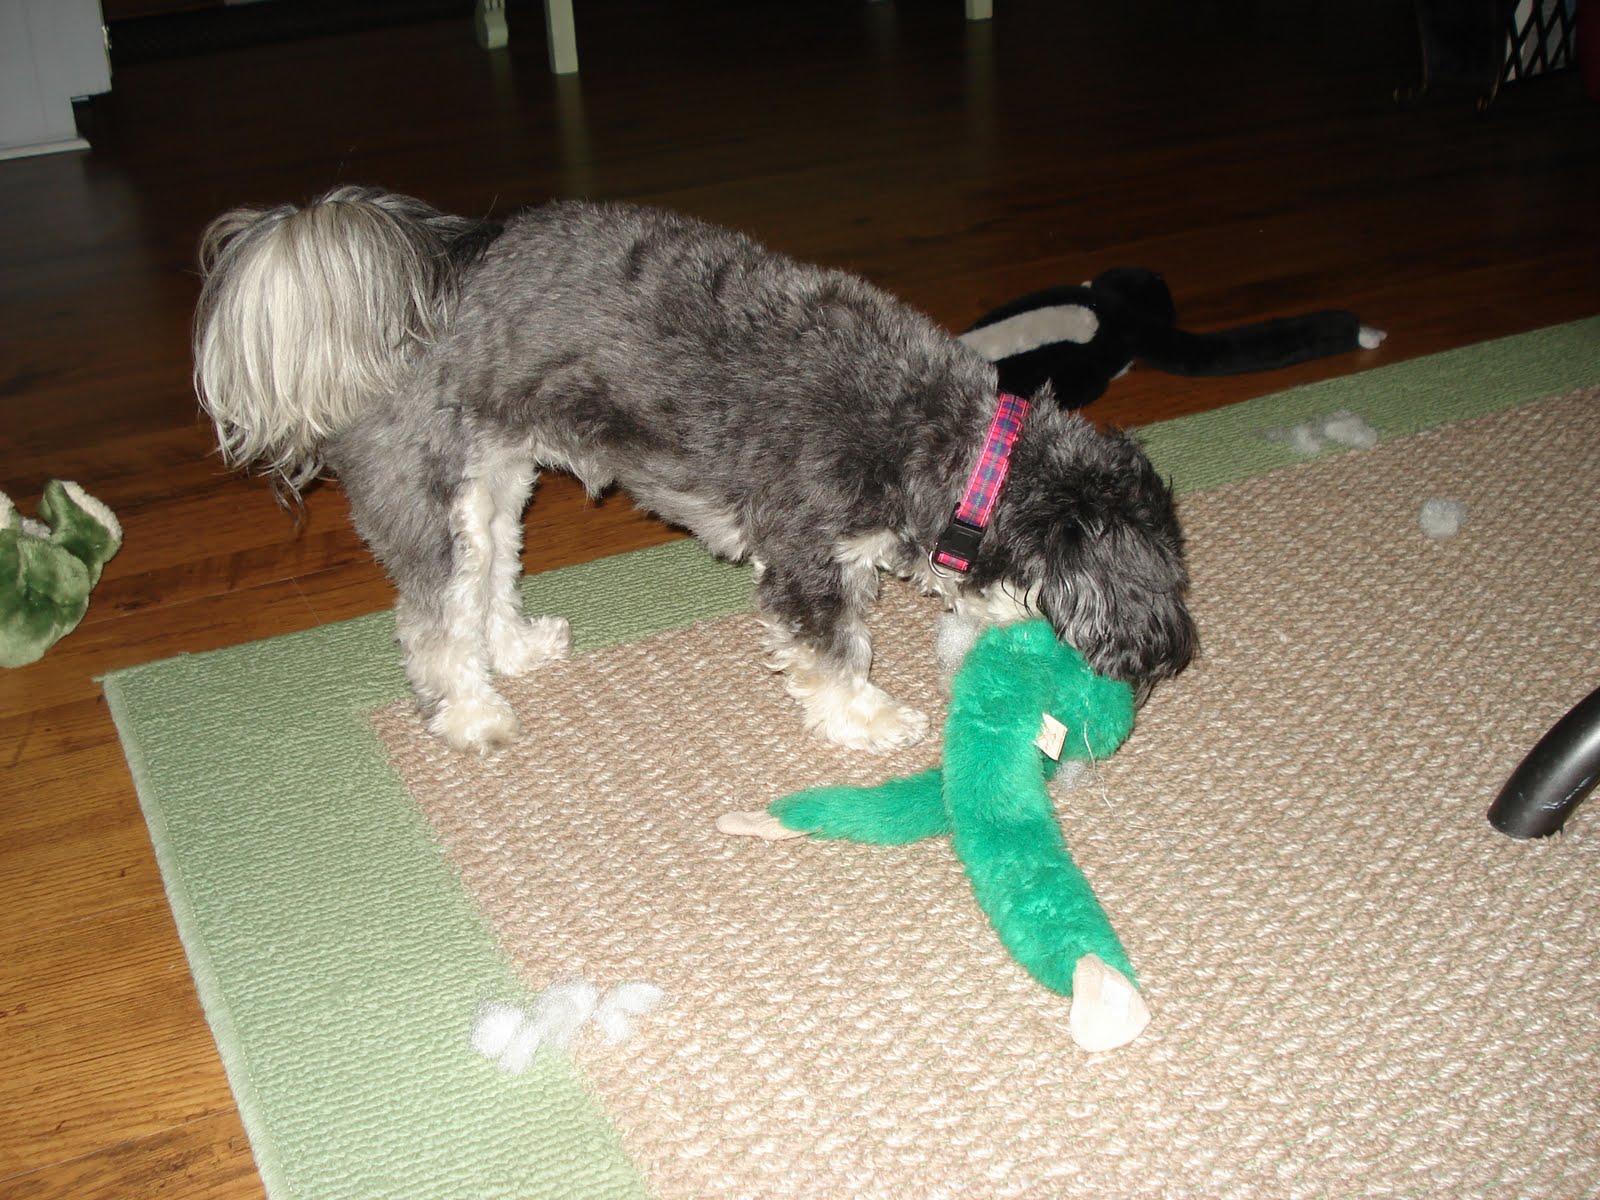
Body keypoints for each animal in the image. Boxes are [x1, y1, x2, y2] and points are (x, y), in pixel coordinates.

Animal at [194, 188, 1196, 754]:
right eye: (1163, 581)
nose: (1172, 655)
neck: (959, 455)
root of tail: (432, 267)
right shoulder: (808, 562)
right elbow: (837, 655)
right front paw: (870, 721)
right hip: (428, 491)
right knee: (433, 624)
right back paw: (473, 715)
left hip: (493, 487)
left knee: (488, 582)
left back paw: (516, 648)